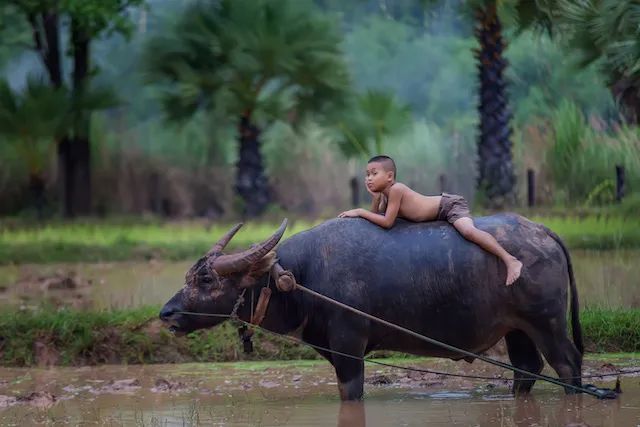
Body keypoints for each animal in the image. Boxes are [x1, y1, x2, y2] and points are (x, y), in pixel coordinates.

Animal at [161, 217, 584, 402]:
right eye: (191, 275)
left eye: (206, 280)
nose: (167, 313)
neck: (303, 276)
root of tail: (544, 232)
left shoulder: (349, 347)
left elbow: (351, 392)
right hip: (517, 330)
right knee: (527, 368)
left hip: (547, 324)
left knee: (567, 365)